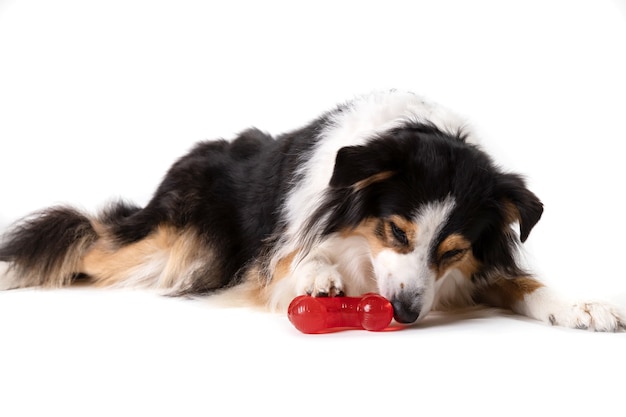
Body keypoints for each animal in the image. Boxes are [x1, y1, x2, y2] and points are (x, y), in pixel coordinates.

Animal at [0, 92, 620, 332]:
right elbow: (295, 264)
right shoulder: (278, 248)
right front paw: (320, 278)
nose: (406, 315)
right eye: (396, 232)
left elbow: (524, 281)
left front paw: (582, 306)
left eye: (454, 251)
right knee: (88, 237)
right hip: (188, 244)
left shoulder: (473, 268)